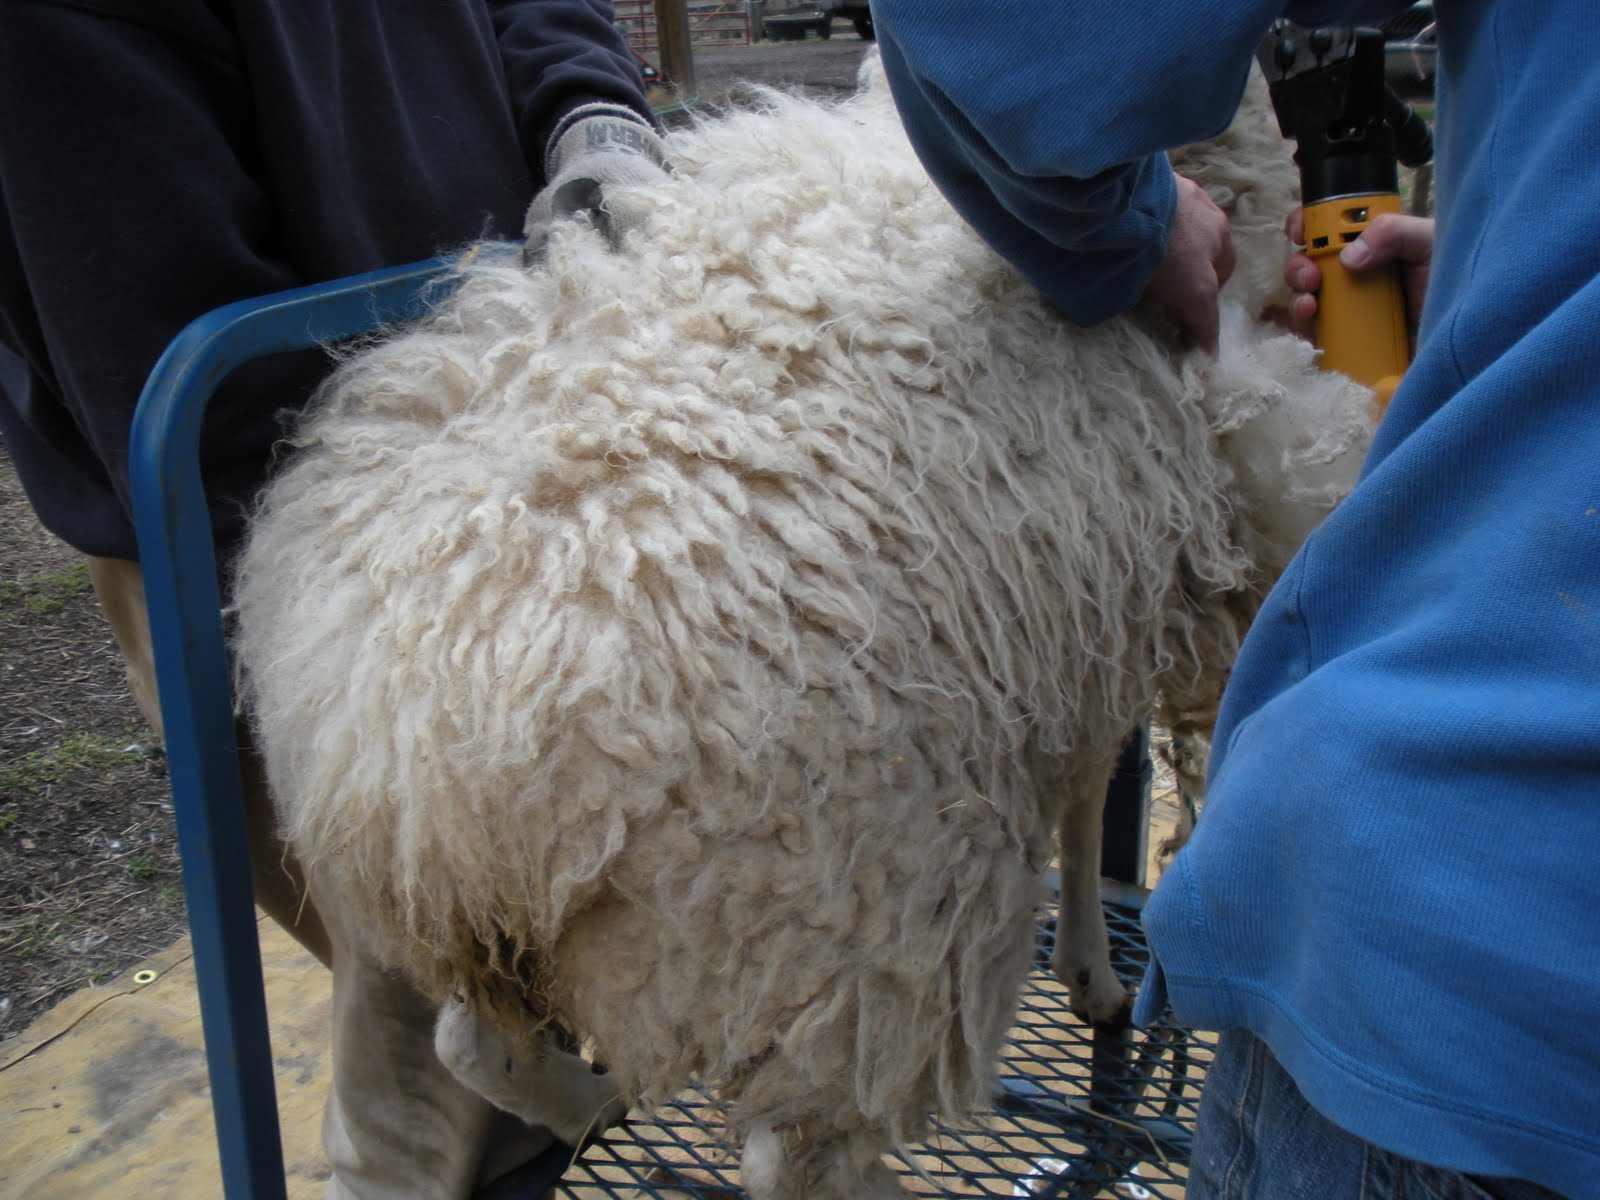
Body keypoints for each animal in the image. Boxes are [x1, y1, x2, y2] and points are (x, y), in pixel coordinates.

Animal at [230, 55, 1373, 1200]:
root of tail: (411, 762)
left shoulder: (1077, 608)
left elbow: (1086, 783)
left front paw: (1089, 963)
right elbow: (1100, 776)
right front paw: (1096, 961)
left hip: (564, 939)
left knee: (471, 1046)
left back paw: (587, 1099)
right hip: (852, 905)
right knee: (796, 1154)